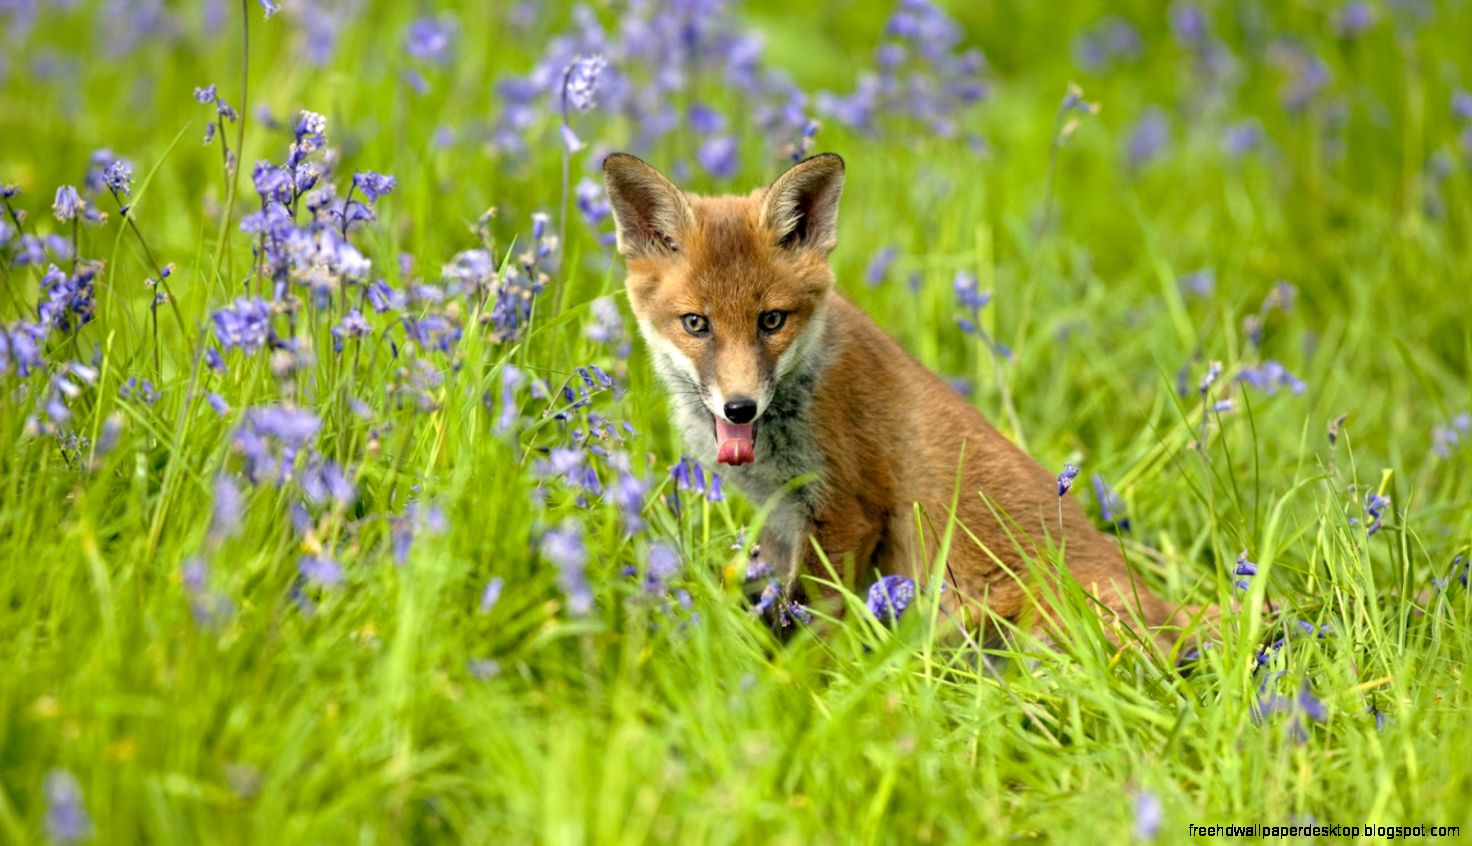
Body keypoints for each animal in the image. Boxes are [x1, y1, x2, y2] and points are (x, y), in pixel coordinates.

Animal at [602, 151, 1199, 649]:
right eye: (695, 324)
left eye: (771, 320)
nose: (740, 408)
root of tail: (1165, 608)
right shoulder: (780, 519)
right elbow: (774, 602)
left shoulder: (847, 512)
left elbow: (808, 627)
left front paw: (796, 685)